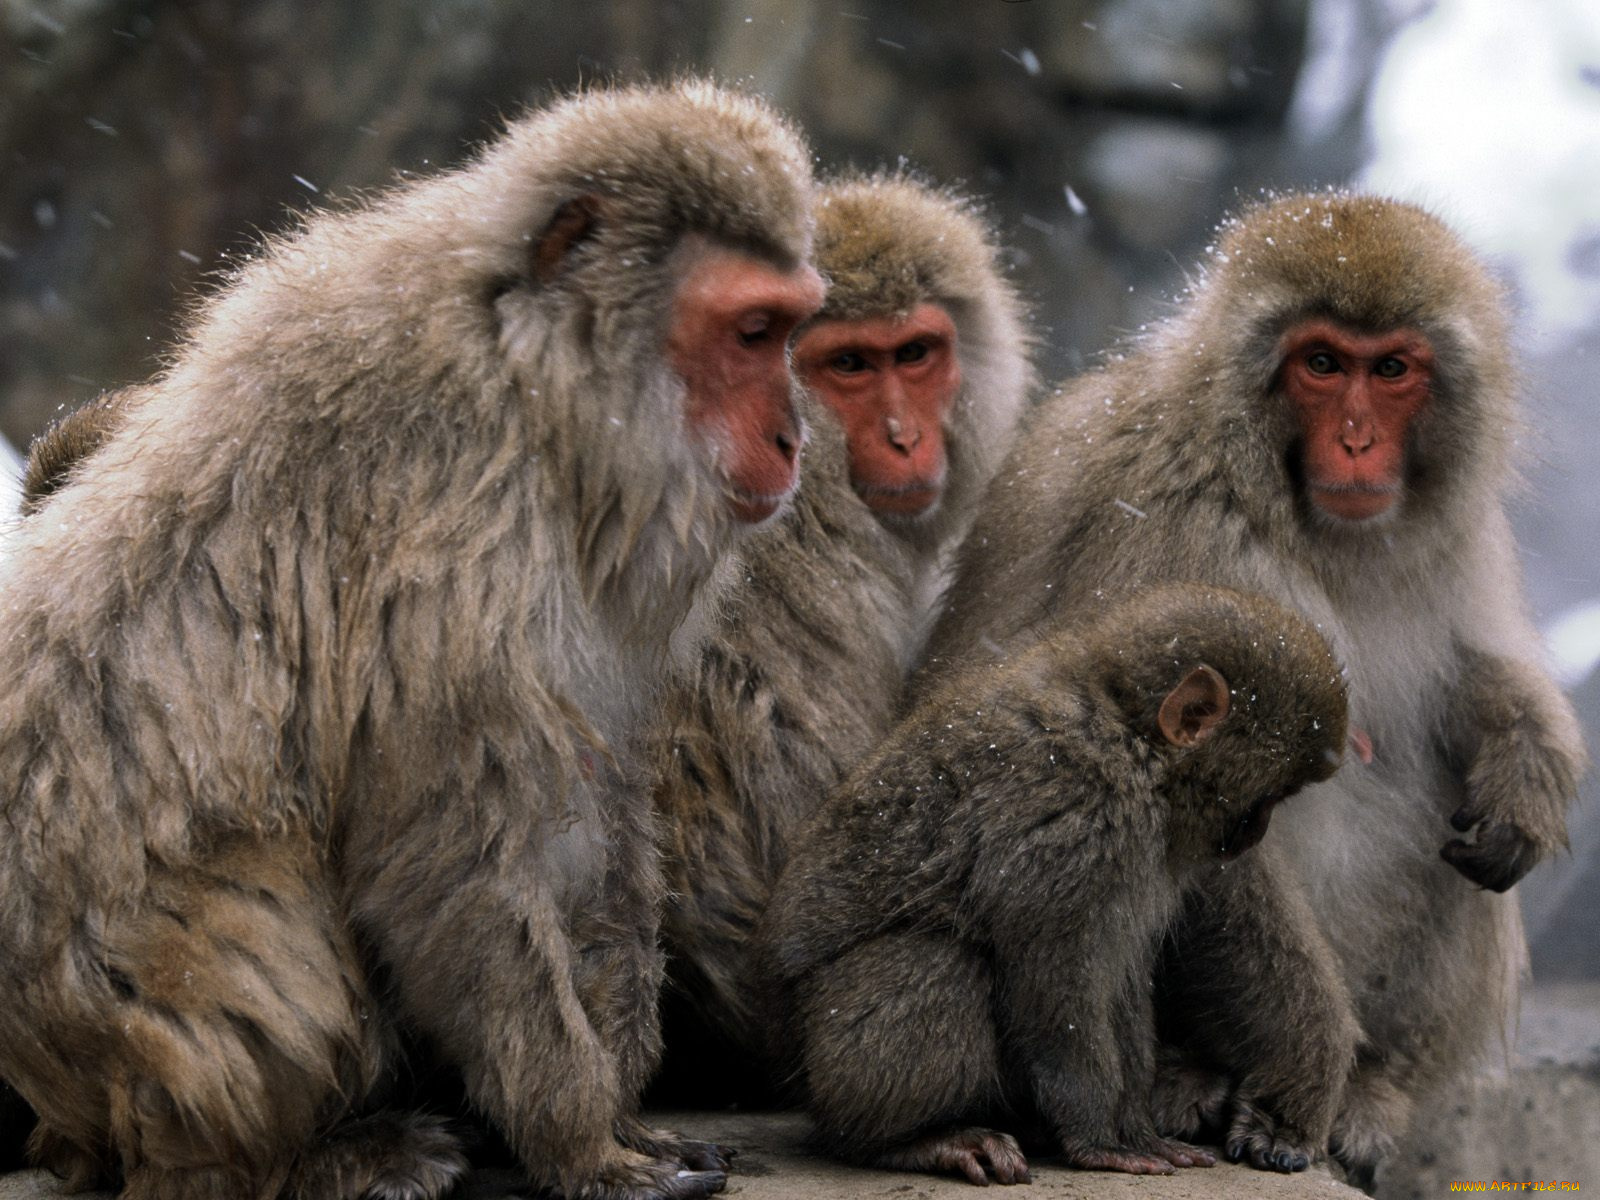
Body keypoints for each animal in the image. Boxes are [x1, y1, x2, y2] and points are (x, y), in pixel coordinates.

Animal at [0, 80, 825, 1200]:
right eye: (749, 332)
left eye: (788, 330)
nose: (793, 436)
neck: (532, 375)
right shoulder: (459, 531)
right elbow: (452, 840)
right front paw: (577, 1137)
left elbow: (595, 789)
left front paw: (616, 1103)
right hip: (113, 1029)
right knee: (262, 937)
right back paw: (310, 1157)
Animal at [757, 583, 1349, 1186]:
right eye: (1268, 798)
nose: (1257, 833)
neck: (1131, 735)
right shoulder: (1077, 821)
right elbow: (1055, 982)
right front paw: (1098, 1139)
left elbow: (1118, 974)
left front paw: (1135, 1128)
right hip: (829, 1062)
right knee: (937, 961)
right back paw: (904, 1140)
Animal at [917, 190, 1586, 1180]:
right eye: (1321, 364)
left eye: (1391, 368)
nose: (1356, 440)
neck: (1299, 515)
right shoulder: (1180, 525)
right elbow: (1204, 807)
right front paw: (1303, 1073)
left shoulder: (1455, 536)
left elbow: (1475, 676)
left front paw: (1527, 776)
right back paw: (1204, 1075)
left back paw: (1375, 1086)